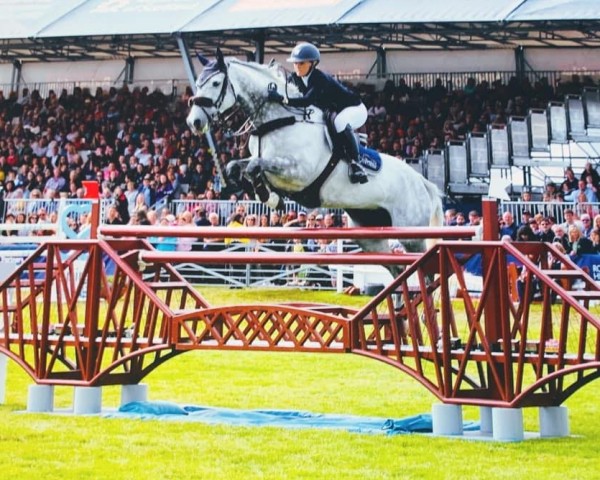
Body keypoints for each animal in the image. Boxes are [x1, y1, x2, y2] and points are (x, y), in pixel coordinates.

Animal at [185, 49, 442, 258]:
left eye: (216, 83)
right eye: (197, 82)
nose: (194, 122)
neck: (278, 121)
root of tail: (421, 181)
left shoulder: (298, 172)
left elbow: (254, 166)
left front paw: (269, 196)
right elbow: (236, 167)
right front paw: (262, 194)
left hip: (411, 232)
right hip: (369, 232)